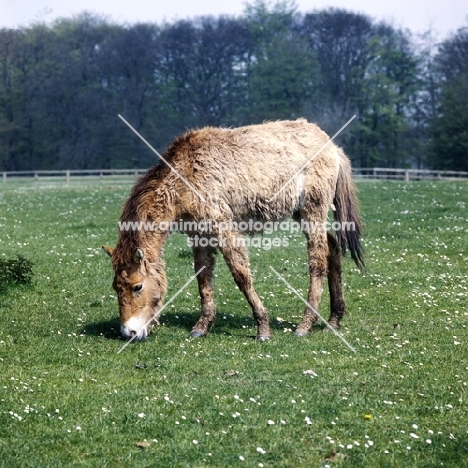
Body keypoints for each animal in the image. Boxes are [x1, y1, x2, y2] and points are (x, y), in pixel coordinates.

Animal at [103, 119, 366, 342]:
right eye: (116, 287)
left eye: (137, 286)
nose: (128, 333)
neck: (186, 175)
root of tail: (332, 146)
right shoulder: (199, 235)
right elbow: (203, 277)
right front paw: (201, 327)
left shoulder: (224, 229)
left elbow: (241, 276)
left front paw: (263, 328)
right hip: (301, 214)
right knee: (332, 248)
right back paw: (334, 320)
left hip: (313, 213)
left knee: (318, 261)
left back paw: (305, 325)